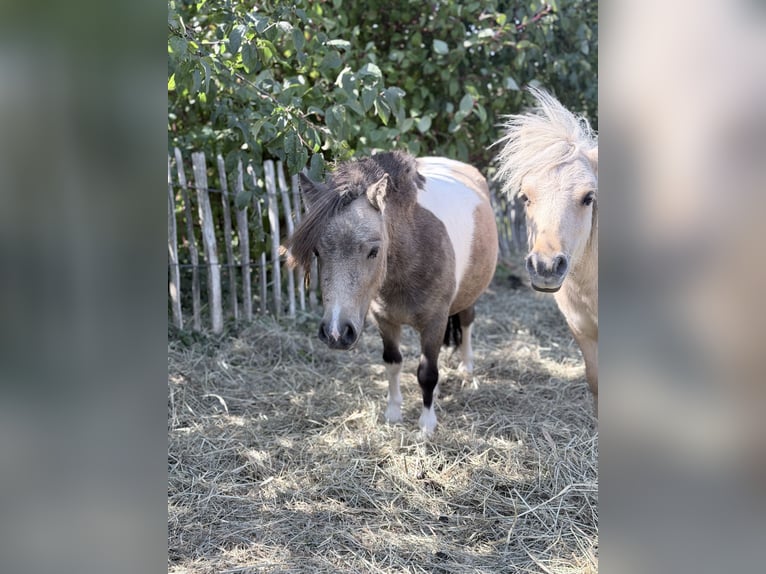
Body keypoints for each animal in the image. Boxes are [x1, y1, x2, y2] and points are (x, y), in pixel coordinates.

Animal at [285, 151, 498, 434]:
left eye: (374, 251)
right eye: (317, 251)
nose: (335, 333)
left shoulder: (435, 321)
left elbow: (427, 372)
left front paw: (426, 425)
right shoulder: (384, 321)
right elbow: (393, 363)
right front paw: (394, 413)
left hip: (469, 295)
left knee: (466, 322)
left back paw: (466, 367)